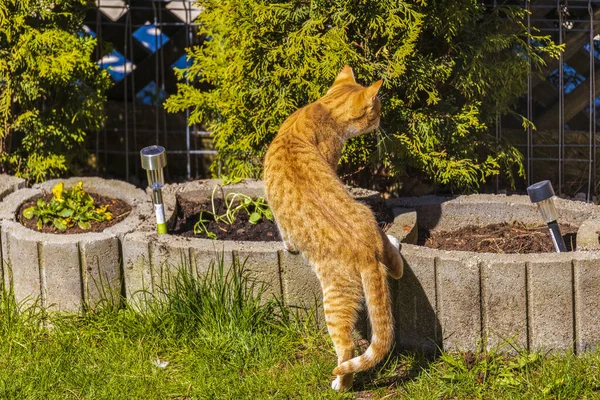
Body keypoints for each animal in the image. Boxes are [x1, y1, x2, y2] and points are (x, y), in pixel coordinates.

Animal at [262, 65, 404, 390]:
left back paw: (342, 383)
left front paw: (288, 245)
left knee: (347, 348)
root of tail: (366, 248)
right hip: (369, 220)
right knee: (396, 265)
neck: (321, 109)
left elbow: (284, 232)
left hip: (335, 300)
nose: (381, 121)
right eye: (378, 111)